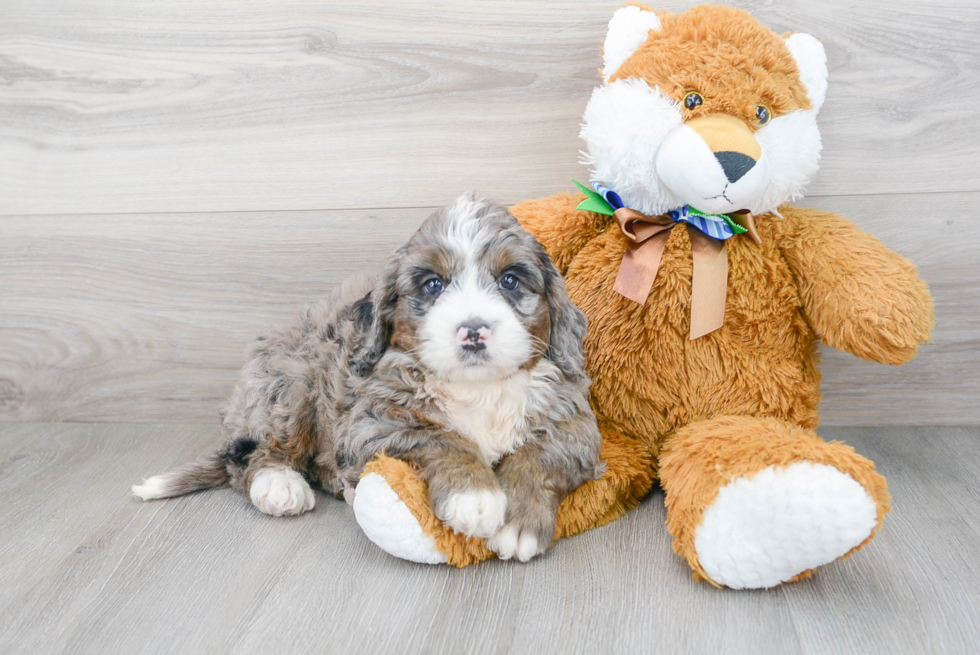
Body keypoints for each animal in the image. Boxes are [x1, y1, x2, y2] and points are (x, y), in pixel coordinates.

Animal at [133, 195, 600, 564]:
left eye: (509, 280)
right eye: (433, 285)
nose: (473, 329)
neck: (478, 387)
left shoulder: (574, 424)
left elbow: (539, 457)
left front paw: (519, 525)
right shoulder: (373, 423)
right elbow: (443, 438)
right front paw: (475, 497)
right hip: (287, 387)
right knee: (249, 458)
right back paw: (280, 486)